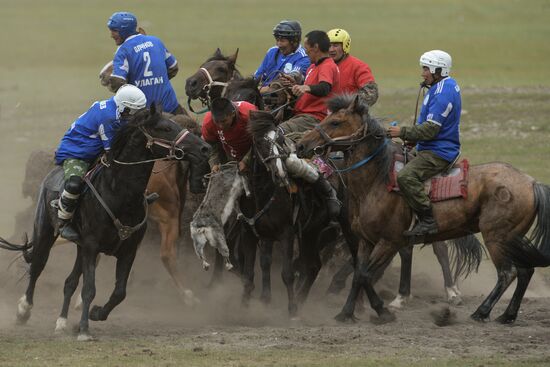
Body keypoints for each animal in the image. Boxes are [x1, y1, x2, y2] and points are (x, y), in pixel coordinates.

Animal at [0, 105, 211, 340]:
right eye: (165, 128)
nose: (204, 148)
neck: (119, 193)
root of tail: (50, 175)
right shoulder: (93, 247)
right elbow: (89, 289)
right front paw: (84, 329)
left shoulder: (127, 250)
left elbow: (119, 292)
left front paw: (96, 313)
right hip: (45, 232)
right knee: (37, 266)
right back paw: (23, 309)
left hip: (80, 247)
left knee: (69, 282)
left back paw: (62, 322)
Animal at [298, 95, 550, 324]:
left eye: (335, 122)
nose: (302, 144)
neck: (376, 183)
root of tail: (531, 182)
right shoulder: (365, 241)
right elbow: (359, 274)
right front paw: (346, 313)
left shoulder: (389, 241)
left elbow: (365, 273)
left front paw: (382, 311)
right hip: (513, 237)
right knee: (525, 270)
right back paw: (507, 315)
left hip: (497, 237)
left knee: (508, 273)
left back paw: (481, 311)